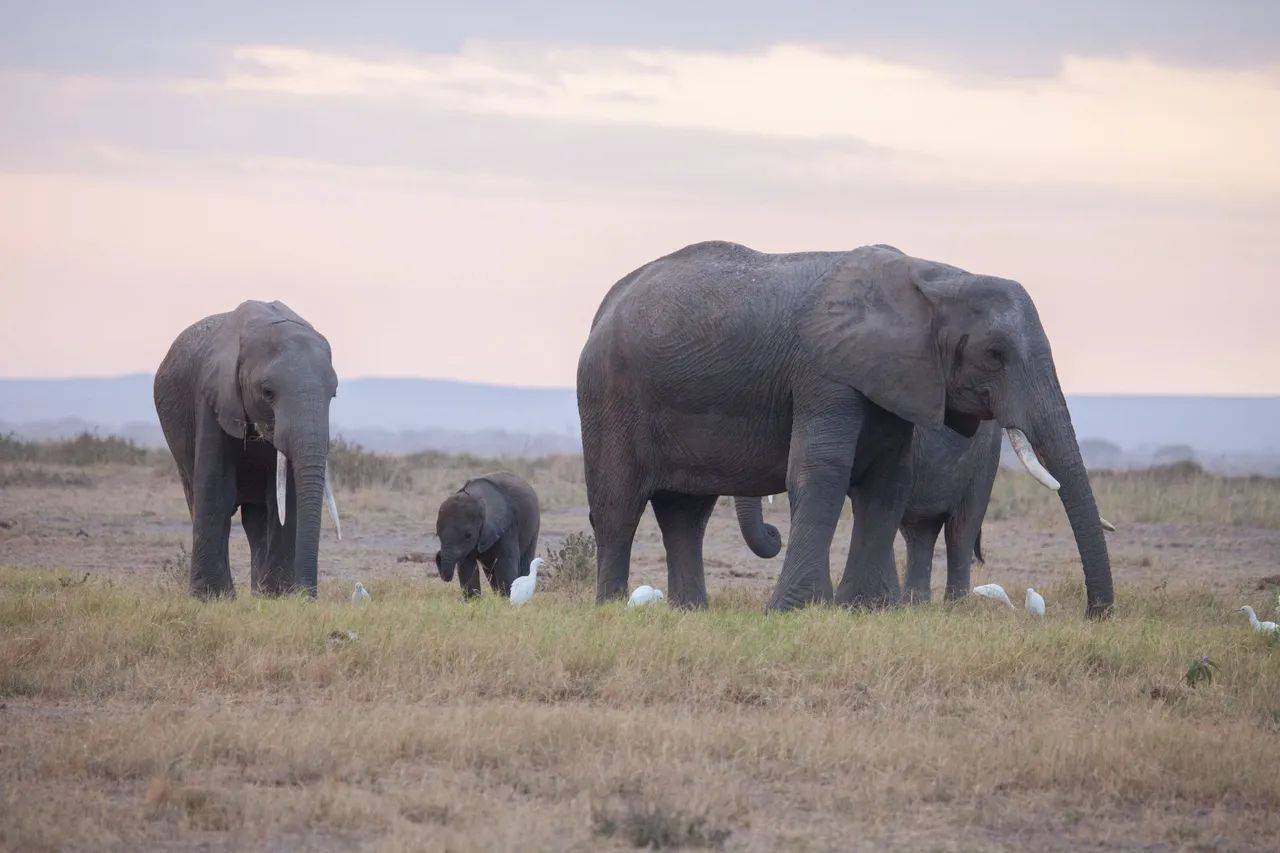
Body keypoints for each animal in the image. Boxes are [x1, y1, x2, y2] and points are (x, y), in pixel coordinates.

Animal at [152, 298, 343, 596]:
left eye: (333, 393)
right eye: (268, 393)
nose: (307, 596)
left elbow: (283, 499)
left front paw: (277, 597)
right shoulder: (212, 395)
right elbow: (217, 489)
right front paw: (211, 597)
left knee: (256, 520)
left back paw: (260, 592)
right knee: (198, 498)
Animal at [576, 239, 1116, 617]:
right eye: (995, 354)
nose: (1096, 615)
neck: (936, 278)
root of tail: (605, 305)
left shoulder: (893, 378)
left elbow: (888, 483)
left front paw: (869, 610)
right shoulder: (823, 370)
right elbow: (822, 471)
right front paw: (795, 611)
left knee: (685, 514)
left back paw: (691, 614)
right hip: (608, 396)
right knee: (618, 508)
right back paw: (612, 611)